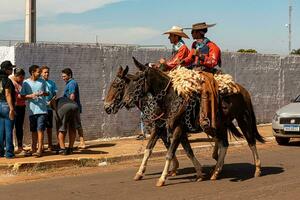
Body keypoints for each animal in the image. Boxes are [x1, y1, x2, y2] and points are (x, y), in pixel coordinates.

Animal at [122, 57, 264, 187]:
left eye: (138, 80)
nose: (126, 101)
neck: (171, 97)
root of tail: (243, 90)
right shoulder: (160, 128)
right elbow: (150, 149)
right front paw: (139, 173)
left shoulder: (178, 129)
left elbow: (170, 153)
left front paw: (162, 179)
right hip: (221, 125)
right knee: (224, 144)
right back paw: (216, 172)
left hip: (243, 119)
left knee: (251, 141)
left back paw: (257, 169)